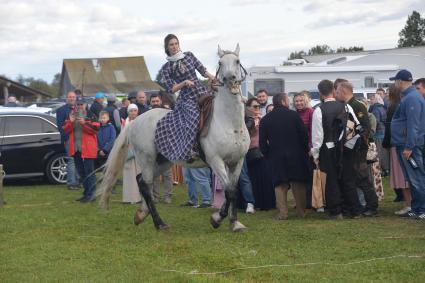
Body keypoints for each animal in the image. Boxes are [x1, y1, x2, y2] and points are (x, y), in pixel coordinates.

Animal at [100, 45, 250, 233]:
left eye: (237, 61)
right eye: (220, 63)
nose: (230, 79)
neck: (230, 123)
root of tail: (134, 122)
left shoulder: (237, 161)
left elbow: (234, 190)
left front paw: (234, 222)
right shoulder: (216, 161)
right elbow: (229, 191)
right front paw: (216, 219)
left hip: (163, 161)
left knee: (142, 180)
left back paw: (141, 214)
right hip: (146, 158)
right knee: (145, 184)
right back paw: (159, 223)